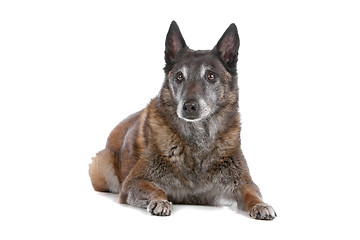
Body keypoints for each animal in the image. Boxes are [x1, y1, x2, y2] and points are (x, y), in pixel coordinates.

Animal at [89, 20, 276, 219]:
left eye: (211, 76)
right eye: (179, 76)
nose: (189, 106)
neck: (197, 142)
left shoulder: (242, 182)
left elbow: (252, 193)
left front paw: (261, 205)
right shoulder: (134, 181)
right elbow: (157, 190)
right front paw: (160, 201)